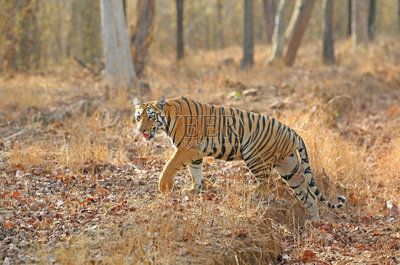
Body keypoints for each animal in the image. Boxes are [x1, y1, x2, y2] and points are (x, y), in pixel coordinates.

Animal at [133, 96, 346, 220]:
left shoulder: (185, 149)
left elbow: (169, 166)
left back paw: (250, 192)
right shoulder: (195, 153)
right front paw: (195, 190)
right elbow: (196, 172)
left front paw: (164, 187)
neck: (167, 118)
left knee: (266, 183)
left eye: (150, 117)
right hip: (289, 166)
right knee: (307, 194)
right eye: (138, 117)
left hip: (254, 155)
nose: (141, 130)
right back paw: (314, 222)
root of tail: (292, 131)